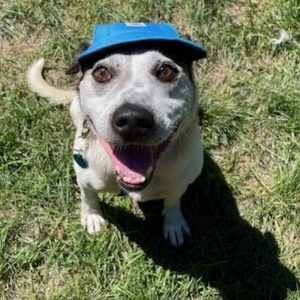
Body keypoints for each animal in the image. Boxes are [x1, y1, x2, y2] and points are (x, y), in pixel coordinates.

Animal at [26, 21, 206, 246]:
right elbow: (88, 196)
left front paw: (174, 224)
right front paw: (92, 216)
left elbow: (173, 201)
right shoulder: (84, 179)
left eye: (166, 71)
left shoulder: (180, 183)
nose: (133, 121)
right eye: (102, 73)